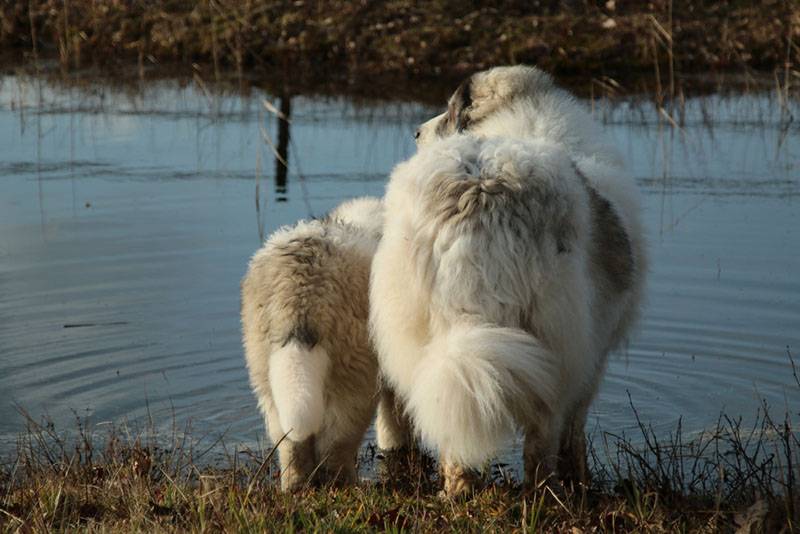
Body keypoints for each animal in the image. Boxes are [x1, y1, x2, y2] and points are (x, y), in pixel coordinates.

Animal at [241, 198, 404, 494]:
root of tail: (301, 293)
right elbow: (394, 415)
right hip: (354, 372)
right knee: (337, 442)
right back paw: (349, 485)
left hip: (265, 367)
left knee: (289, 441)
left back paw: (295, 486)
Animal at [372, 67, 648, 498]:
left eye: (450, 113)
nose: (416, 132)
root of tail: (479, 194)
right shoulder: (593, 357)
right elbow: (575, 431)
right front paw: (579, 480)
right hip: (557, 341)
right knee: (543, 435)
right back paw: (546, 495)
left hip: (419, 335)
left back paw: (457, 489)